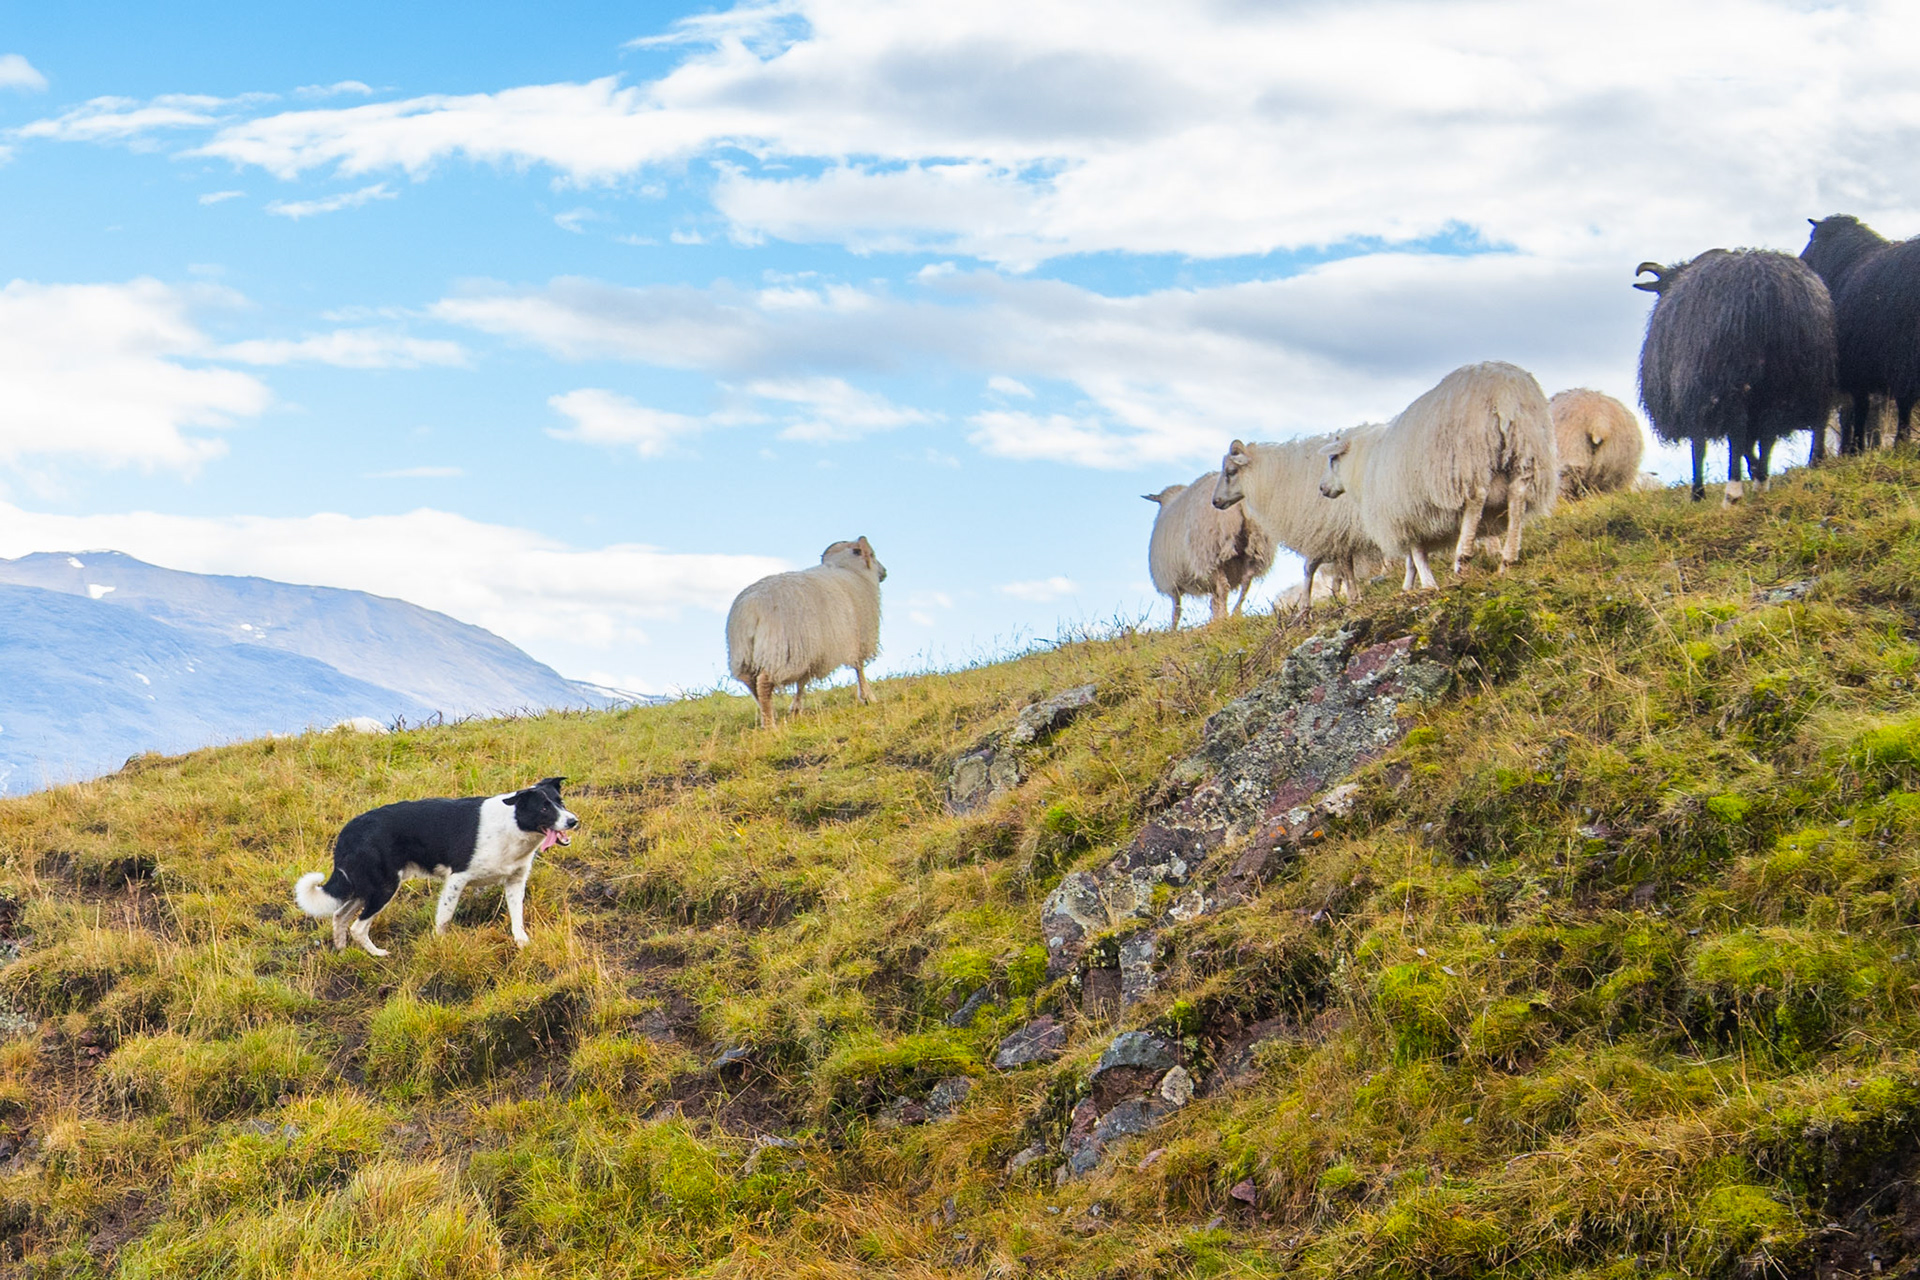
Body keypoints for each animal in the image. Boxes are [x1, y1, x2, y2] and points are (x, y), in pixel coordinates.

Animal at [726, 537, 887, 729]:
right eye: (872, 554)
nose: (885, 572)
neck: (848, 568)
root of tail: (751, 607)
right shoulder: (859, 638)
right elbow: (859, 668)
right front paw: (868, 697)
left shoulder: (814, 653)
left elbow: (802, 682)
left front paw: (796, 708)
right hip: (782, 651)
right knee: (763, 683)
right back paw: (771, 725)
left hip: (746, 653)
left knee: (751, 683)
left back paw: (767, 717)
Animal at [1142, 474, 1276, 629]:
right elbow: (1213, 602)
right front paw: (1215, 618)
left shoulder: (1171, 582)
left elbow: (1177, 610)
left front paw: (1173, 629)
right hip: (1256, 546)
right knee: (1245, 583)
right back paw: (1235, 613)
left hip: (1211, 551)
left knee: (1224, 587)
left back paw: (1225, 617)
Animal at [1210, 424, 1385, 613]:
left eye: (1231, 471)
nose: (1215, 501)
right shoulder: (1332, 531)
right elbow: (1336, 567)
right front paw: (1351, 599)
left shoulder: (1329, 529)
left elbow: (1316, 568)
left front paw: (1307, 608)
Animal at [1317, 361, 1557, 589]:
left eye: (1332, 459)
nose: (1322, 488)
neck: (1363, 462)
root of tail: (1504, 389)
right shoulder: (1410, 513)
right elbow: (1412, 559)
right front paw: (1409, 586)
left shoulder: (1404, 513)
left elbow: (1416, 554)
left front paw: (1426, 584)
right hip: (1526, 448)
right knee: (1518, 495)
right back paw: (1507, 561)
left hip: (1469, 456)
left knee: (1477, 497)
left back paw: (1462, 561)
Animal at [1634, 250, 1835, 500]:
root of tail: (1770, 292)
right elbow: (1751, 443)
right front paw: (1757, 472)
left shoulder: (1695, 395)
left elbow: (1699, 447)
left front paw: (1697, 493)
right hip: (1792, 378)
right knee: (1775, 428)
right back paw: (1767, 480)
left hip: (1730, 380)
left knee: (1738, 429)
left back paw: (1733, 491)